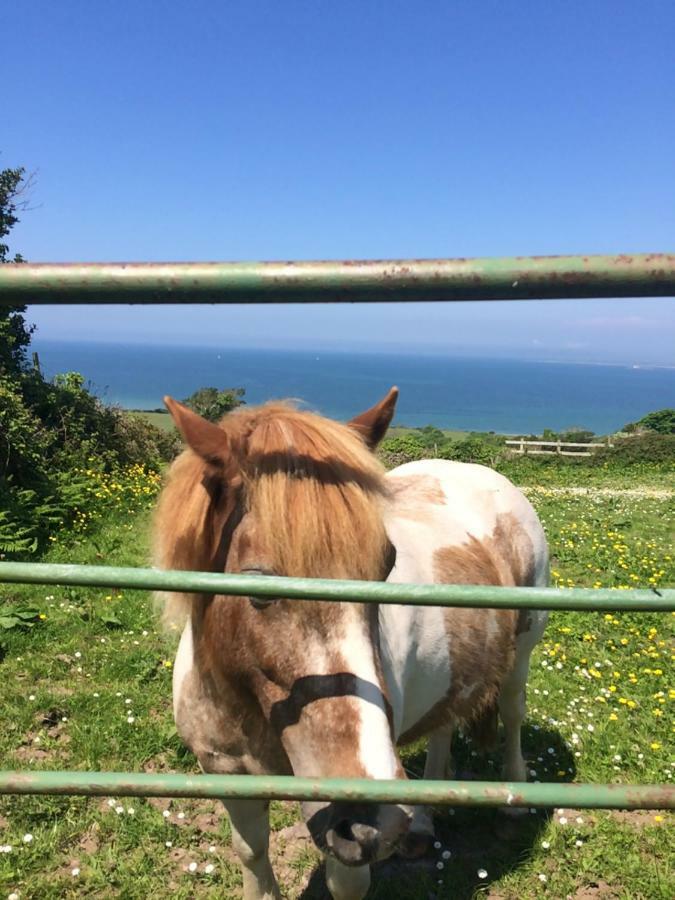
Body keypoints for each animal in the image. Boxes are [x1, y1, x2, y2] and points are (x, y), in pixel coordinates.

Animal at [153, 390, 548, 900]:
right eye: (259, 588)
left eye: (385, 568)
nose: (374, 819)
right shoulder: (228, 777)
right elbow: (252, 854)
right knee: (443, 726)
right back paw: (423, 825)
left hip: (522, 654)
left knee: (513, 712)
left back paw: (512, 801)